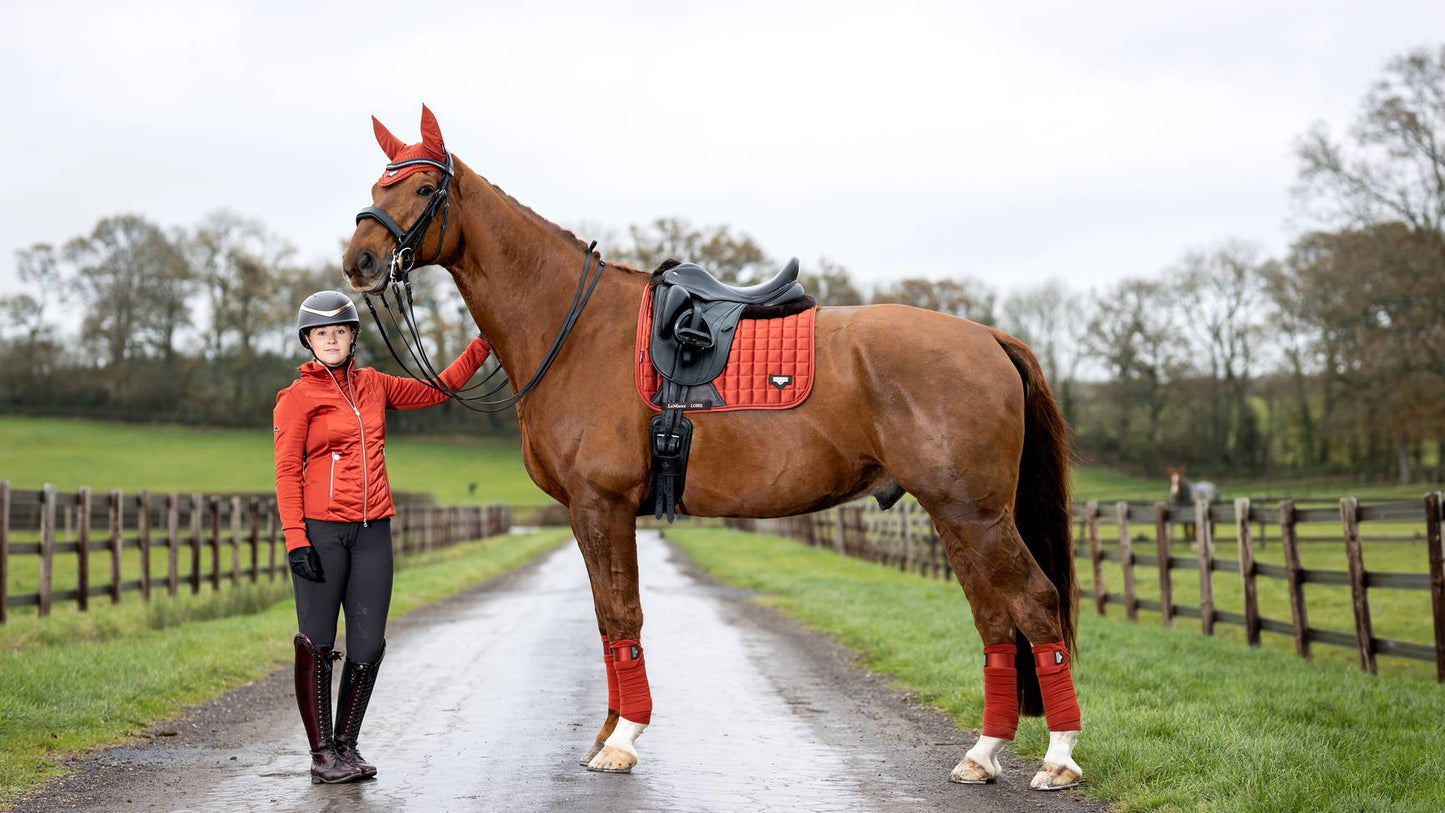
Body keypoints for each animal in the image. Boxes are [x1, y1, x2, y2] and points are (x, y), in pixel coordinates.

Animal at [341, 104, 1086, 791]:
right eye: (376, 185)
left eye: (421, 188)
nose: (359, 262)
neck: (575, 329)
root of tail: (988, 337)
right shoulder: (587, 513)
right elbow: (607, 621)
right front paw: (608, 731)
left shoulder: (602, 505)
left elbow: (622, 614)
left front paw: (624, 738)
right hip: (955, 516)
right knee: (994, 621)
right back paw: (981, 754)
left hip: (975, 515)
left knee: (1035, 603)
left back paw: (1057, 759)